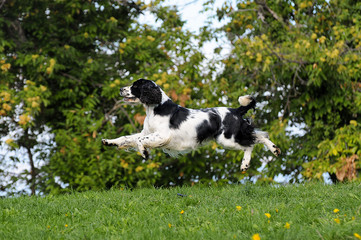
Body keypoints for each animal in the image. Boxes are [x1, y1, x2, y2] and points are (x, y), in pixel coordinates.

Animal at [102, 79, 280, 171]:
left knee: (254, 140)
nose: (121, 89)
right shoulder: (146, 132)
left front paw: (144, 153)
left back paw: (266, 154)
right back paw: (257, 158)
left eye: (135, 86)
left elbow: (140, 141)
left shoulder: (163, 135)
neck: (156, 108)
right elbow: (128, 138)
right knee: (256, 137)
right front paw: (109, 142)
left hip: (228, 139)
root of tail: (236, 110)